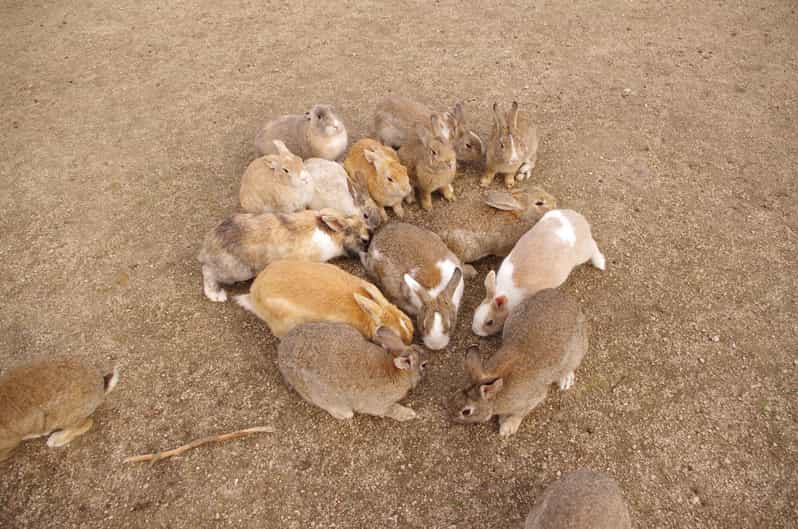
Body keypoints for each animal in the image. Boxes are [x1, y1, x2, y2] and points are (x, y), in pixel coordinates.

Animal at [198, 209, 369, 302]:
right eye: (364, 239)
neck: (334, 235)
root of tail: (207, 248)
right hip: (236, 272)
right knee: (207, 273)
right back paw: (216, 295)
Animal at [278, 322, 427, 421]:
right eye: (423, 365)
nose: (427, 365)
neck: (397, 372)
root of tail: (281, 355)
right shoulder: (381, 406)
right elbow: (392, 410)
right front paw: (410, 414)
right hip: (320, 395)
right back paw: (345, 414)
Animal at [453, 288, 588, 437]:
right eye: (457, 394)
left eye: (466, 412)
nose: (452, 417)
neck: (496, 396)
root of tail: (572, 302)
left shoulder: (533, 398)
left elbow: (520, 413)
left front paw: (507, 428)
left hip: (576, 352)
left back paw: (566, 380)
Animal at [472, 209, 605, 336]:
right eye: (475, 311)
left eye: (489, 322)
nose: (475, 331)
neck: (507, 294)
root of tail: (582, 221)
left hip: (583, 253)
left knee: (593, 246)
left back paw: (600, 263)